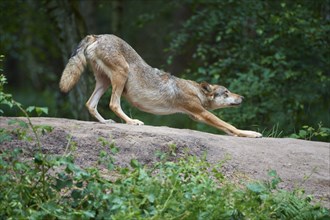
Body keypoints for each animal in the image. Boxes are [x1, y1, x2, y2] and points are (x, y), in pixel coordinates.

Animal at [58, 34, 260, 138]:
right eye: (226, 92)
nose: (242, 97)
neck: (195, 91)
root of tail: (97, 35)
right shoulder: (201, 113)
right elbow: (229, 125)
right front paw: (251, 133)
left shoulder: (196, 116)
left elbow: (226, 128)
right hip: (121, 75)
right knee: (113, 104)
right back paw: (132, 122)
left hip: (105, 81)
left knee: (90, 104)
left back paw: (106, 122)